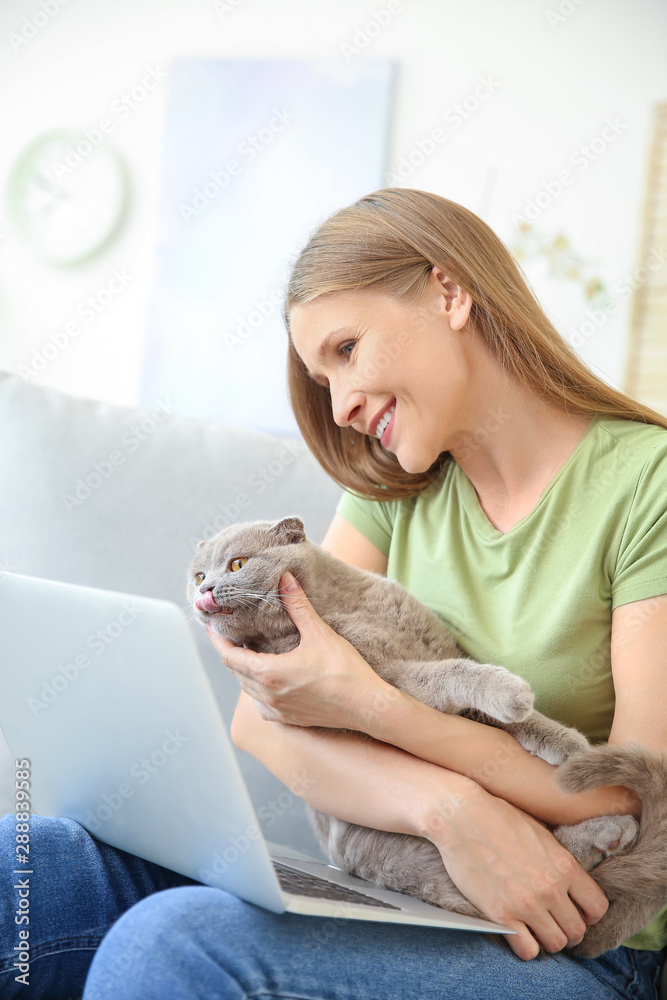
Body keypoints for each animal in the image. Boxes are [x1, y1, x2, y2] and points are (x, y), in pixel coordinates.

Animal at [185, 520, 667, 956]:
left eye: (236, 564)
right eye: (199, 575)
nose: (205, 591)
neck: (347, 605)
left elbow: (508, 717)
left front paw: (565, 744)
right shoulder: (394, 682)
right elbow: (455, 675)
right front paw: (513, 695)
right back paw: (611, 832)